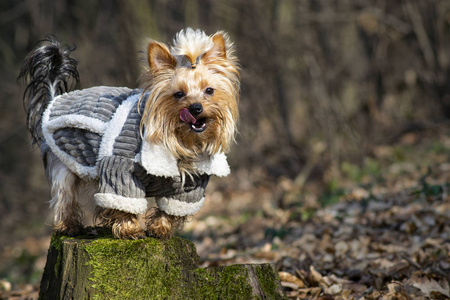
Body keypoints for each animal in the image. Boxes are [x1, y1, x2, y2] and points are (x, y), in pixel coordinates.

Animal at [19, 28, 241, 239]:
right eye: (178, 94)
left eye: (209, 90)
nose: (195, 108)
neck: (181, 141)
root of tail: (53, 101)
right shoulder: (120, 167)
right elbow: (124, 200)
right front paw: (130, 230)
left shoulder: (191, 186)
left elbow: (172, 209)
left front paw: (160, 229)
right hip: (63, 162)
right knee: (64, 196)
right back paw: (69, 226)